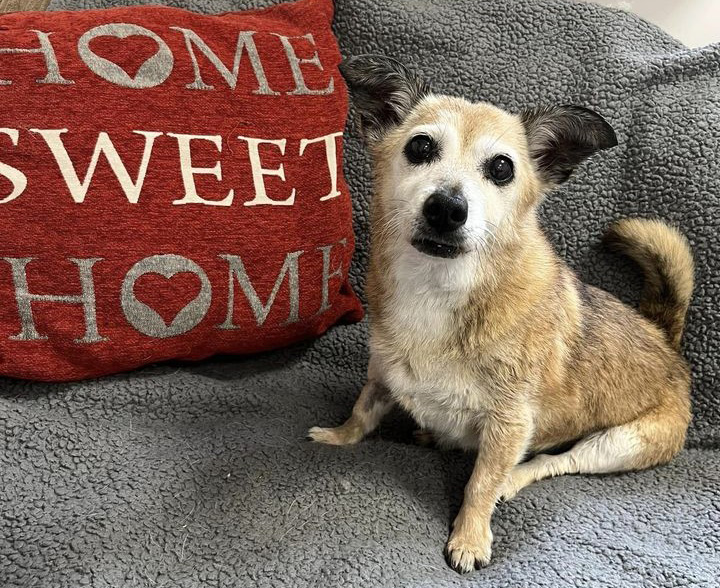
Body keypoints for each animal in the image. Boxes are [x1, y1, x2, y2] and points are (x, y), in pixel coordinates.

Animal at [308, 56, 692, 576]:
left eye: (502, 168)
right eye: (420, 146)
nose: (447, 207)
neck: (438, 288)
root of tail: (665, 337)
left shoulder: (510, 426)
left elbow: (480, 484)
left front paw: (470, 537)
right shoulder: (383, 371)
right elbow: (363, 410)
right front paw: (339, 435)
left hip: (620, 445)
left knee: (557, 462)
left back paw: (513, 477)